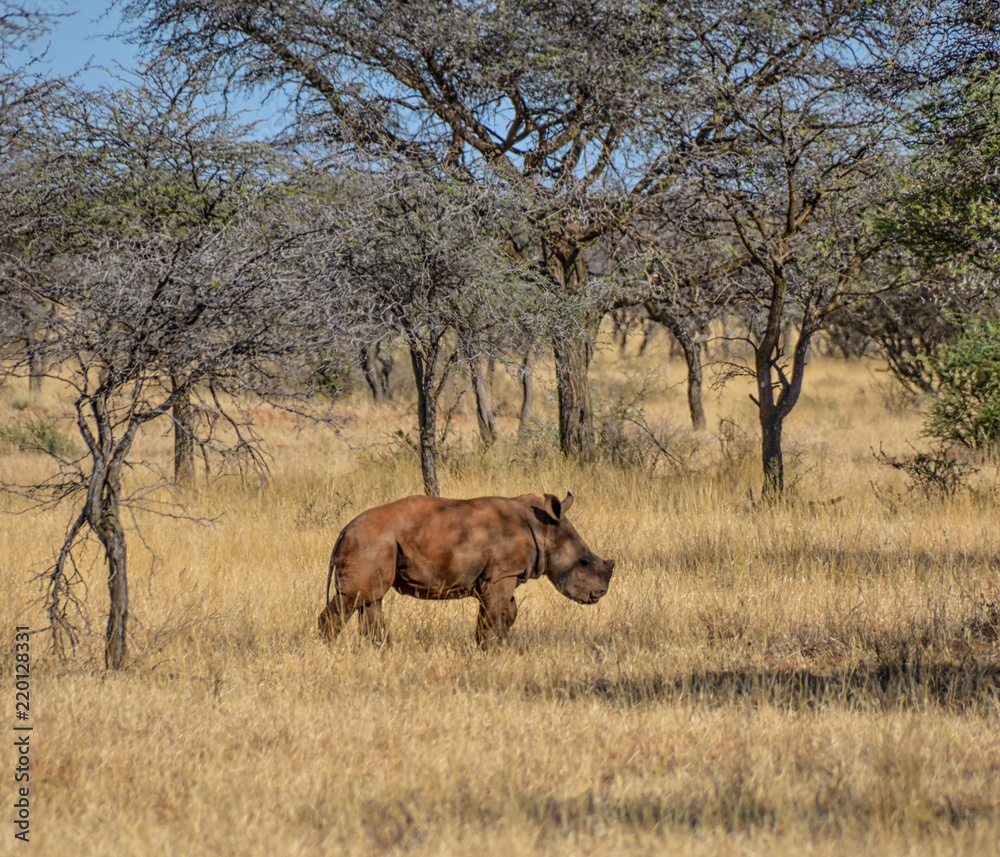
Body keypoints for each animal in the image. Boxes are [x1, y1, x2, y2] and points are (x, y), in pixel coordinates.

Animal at [317, 492, 614, 645]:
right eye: (583, 563)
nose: (598, 594)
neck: (544, 528)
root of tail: (344, 530)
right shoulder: (501, 575)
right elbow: (494, 613)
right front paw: (491, 649)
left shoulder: (501, 575)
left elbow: (506, 611)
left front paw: (493, 644)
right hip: (371, 541)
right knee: (354, 597)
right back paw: (328, 649)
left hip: (377, 543)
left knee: (370, 598)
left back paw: (381, 651)